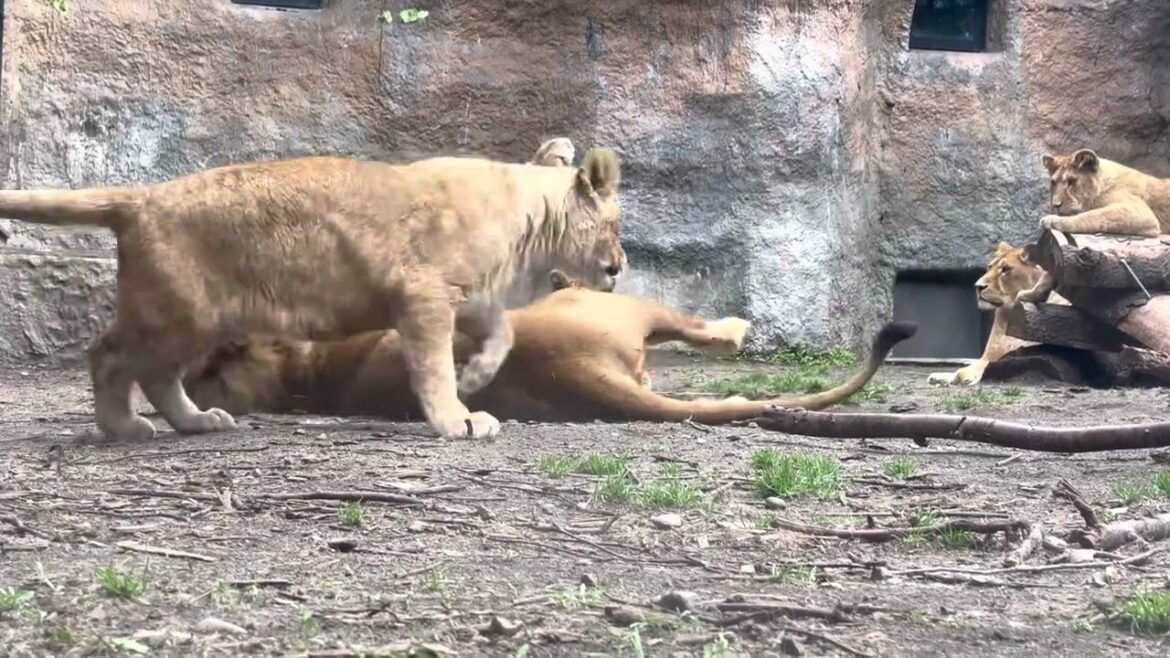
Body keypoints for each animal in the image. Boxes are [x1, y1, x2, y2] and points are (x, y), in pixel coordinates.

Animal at [0, 141, 624, 442]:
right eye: (616, 225)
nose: (620, 268)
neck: (529, 217)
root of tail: (141, 197)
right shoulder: (422, 295)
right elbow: (431, 367)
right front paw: (457, 416)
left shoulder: (464, 297)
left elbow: (504, 330)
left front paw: (475, 377)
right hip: (176, 313)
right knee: (108, 356)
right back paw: (123, 428)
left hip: (199, 320)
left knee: (155, 374)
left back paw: (196, 421)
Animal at [928, 241, 1067, 386]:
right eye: (990, 267)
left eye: (1006, 269)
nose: (978, 286)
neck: (1006, 315)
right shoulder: (991, 354)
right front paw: (940, 376)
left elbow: (967, 370)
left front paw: (965, 377)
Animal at [1039, 148, 1170, 237]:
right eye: (1053, 183)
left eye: (1071, 181)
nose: (1055, 205)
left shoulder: (1139, 211)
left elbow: (1092, 215)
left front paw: (1052, 220)